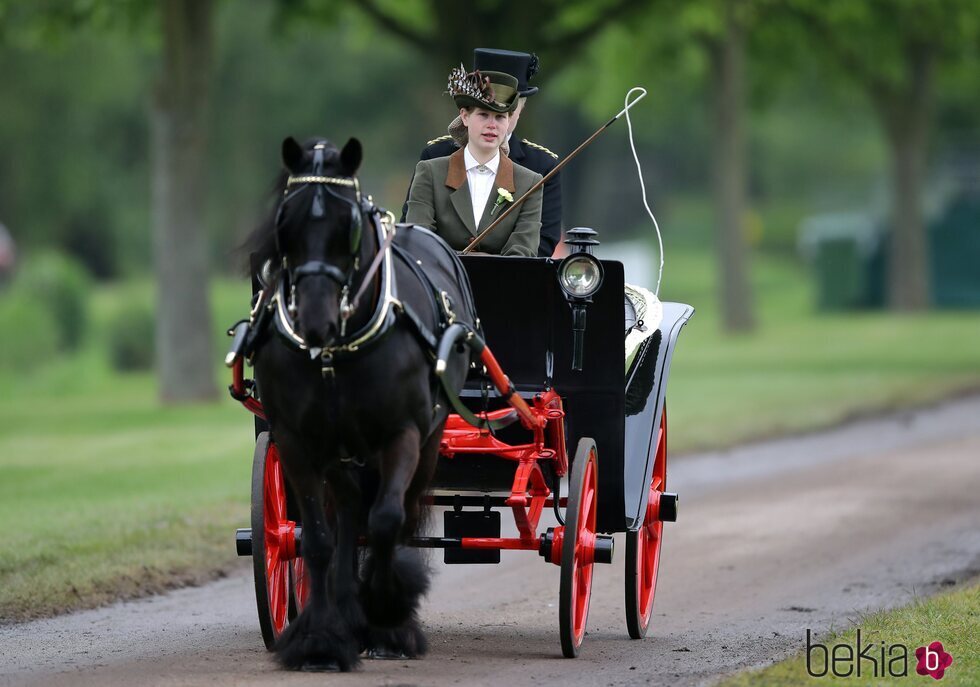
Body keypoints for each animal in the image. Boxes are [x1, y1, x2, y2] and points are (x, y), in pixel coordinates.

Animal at [249, 137, 478, 668]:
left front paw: (388, 617)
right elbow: (316, 537)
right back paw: (346, 611)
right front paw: (319, 639)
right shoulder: (295, 439)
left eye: (348, 226)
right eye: (284, 223)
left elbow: (388, 520)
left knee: (398, 513)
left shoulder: (404, 433)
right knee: (349, 510)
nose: (316, 321)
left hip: (427, 438)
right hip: (342, 449)